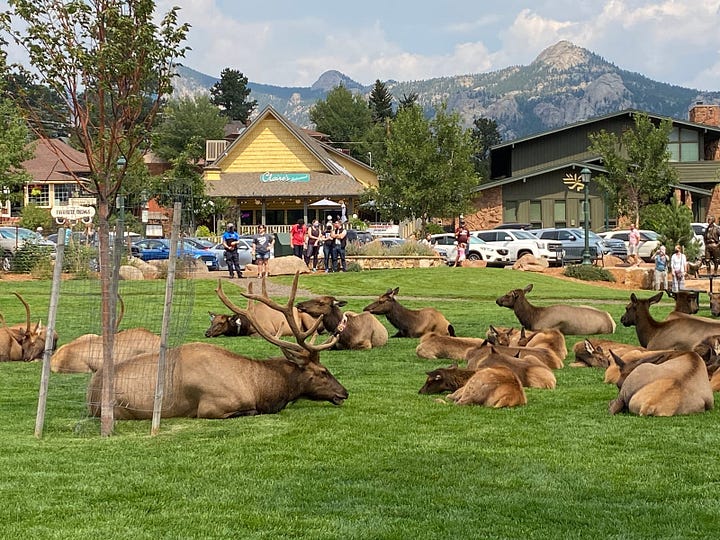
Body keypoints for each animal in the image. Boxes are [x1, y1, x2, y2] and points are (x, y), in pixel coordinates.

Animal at [86, 272, 348, 419]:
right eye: (323, 372)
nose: (344, 392)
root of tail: (90, 394)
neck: (260, 387)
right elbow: (251, 411)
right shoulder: (212, 408)